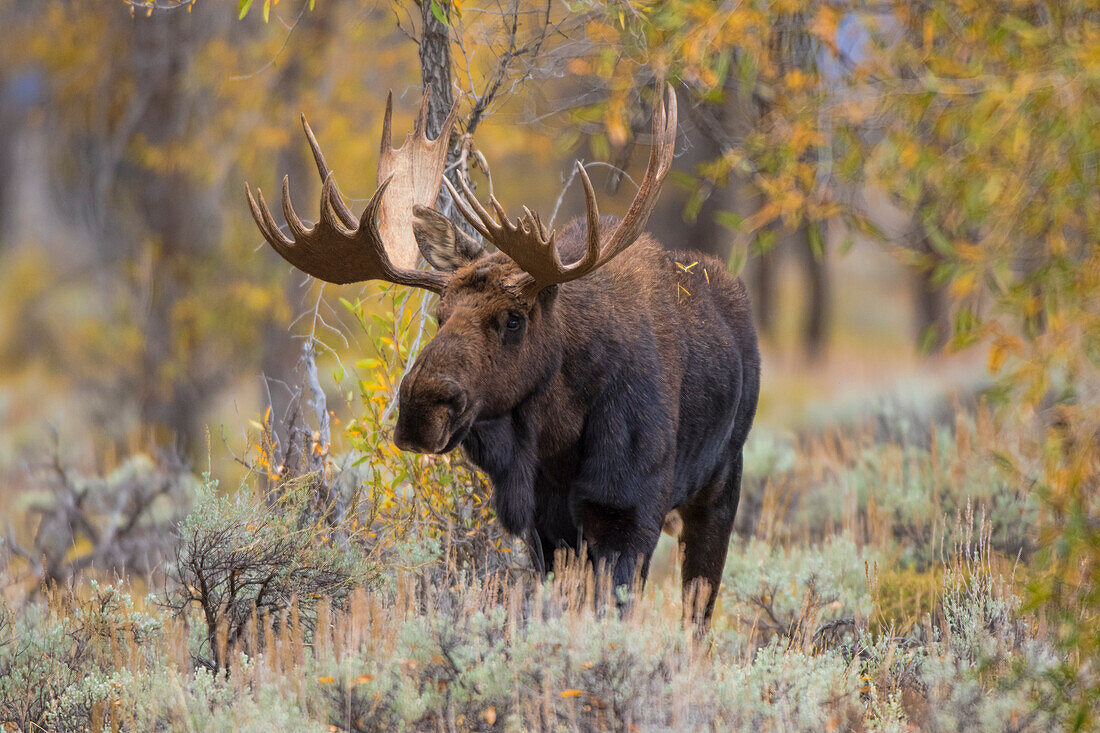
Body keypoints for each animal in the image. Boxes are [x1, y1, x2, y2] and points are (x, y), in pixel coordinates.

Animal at [243, 85, 756, 620]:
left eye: (514, 319)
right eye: (440, 313)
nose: (419, 410)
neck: (556, 438)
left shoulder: (629, 513)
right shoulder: (547, 527)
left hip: (721, 484)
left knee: (699, 609)